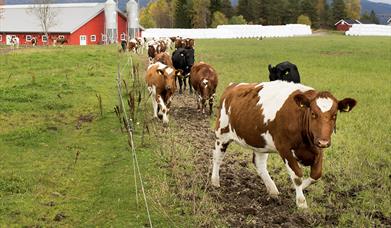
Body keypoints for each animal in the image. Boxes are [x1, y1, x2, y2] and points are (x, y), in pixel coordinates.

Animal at [211, 81, 358, 208]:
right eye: (313, 113)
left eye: (334, 115)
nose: (324, 141)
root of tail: (233, 86)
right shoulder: (284, 148)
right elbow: (297, 175)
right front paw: (301, 203)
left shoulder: (317, 149)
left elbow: (316, 175)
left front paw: (297, 189)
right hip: (221, 133)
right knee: (217, 157)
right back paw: (215, 181)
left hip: (260, 141)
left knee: (259, 164)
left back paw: (272, 190)